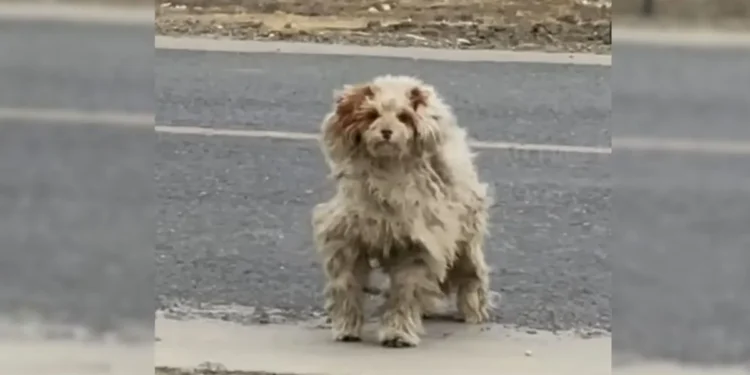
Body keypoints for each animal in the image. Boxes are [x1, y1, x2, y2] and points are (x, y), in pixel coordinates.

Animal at [312, 74, 494, 350]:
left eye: (403, 116)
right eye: (372, 115)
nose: (386, 132)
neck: (389, 173)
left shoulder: (418, 245)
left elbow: (405, 291)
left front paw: (398, 332)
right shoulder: (347, 238)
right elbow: (347, 284)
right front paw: (346, 326)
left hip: (466, 236)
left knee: (472, 273)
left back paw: (474, 308)